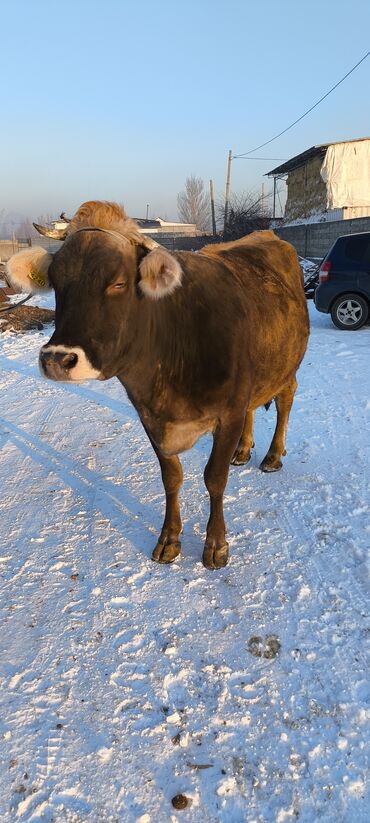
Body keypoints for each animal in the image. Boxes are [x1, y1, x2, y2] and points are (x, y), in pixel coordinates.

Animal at [7, 203, 310, 568]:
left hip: (288, 364)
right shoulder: (149, 416)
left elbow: (214, 477)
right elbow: (171, 477)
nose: (56, 359)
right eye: (55, 281)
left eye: (119, 282)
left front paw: (216, 545)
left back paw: (273, 455)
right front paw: (169, 539)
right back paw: (242, 450)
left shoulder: (229, 412)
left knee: (285, 401)